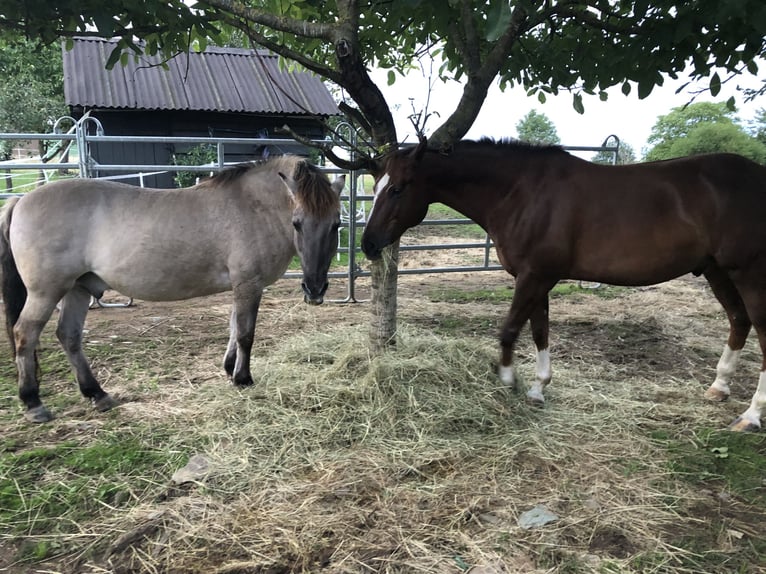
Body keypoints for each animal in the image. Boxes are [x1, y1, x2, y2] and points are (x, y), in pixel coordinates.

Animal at [0, 156, 345, 423]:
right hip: (46, 292)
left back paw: (97, 394)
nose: (315, 288)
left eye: (336, 224)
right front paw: (243, 379)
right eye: (297, 223)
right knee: (25, 334)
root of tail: (20, 200)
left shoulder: (241, 285)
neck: (253, 206)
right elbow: (246, 333)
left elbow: (234, 327)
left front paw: (229, 368)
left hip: (78, 289)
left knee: (69, 336)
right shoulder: (248, 284)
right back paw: (33, 403)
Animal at [361, 136, 766, 432]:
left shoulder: (535, 276)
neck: (521, 192)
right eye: (377, 185)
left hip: (749, 274)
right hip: (716, 271)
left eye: (398, 188)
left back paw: (751, 415)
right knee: (738, 320)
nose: (368, 244)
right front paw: (538, 389)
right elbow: (539, 331)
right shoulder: (536, 278)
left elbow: (509, 330)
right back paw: (719, 388)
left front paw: (508, 379)